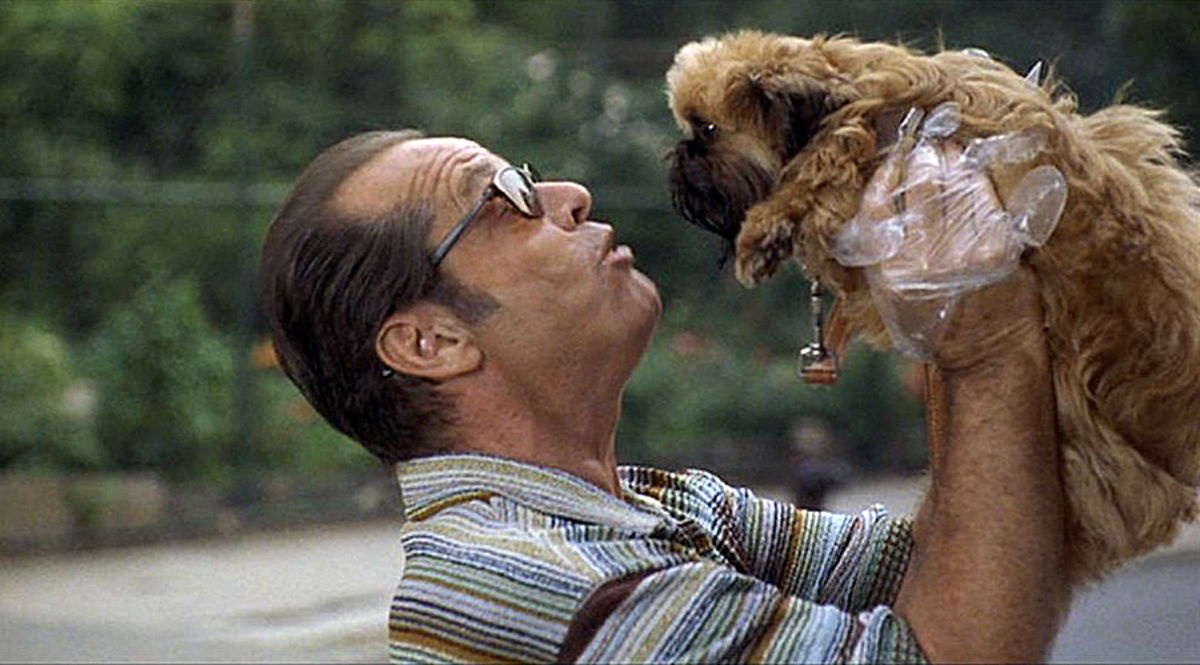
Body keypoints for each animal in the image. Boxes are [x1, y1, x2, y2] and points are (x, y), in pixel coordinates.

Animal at [666, 30, 1200, 587]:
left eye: (707, 130)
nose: (679, 156)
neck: (848, 93)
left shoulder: (871, 137)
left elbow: (826, 162)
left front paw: (767, 226)